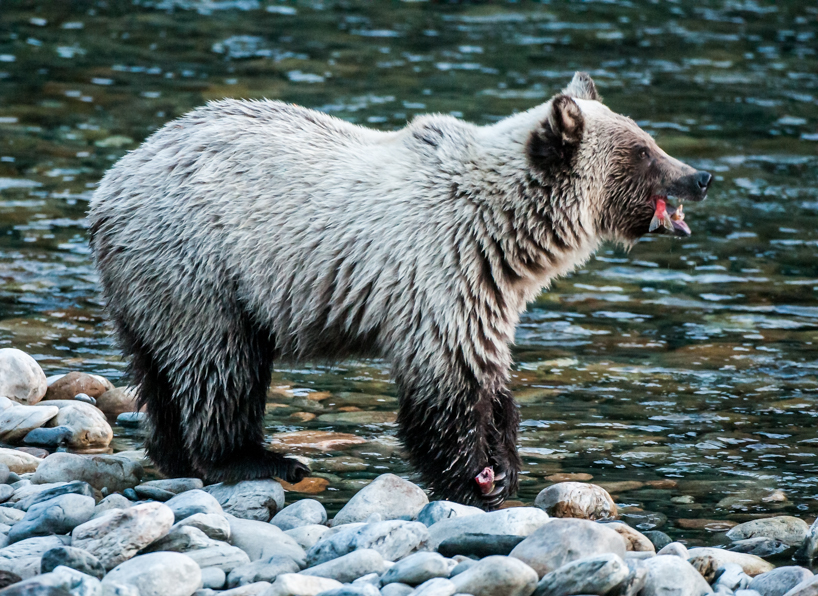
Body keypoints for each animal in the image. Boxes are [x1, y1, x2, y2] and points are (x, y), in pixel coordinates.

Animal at [88, 72, 711, 508]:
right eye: (643, 151)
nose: (700, 176)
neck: (506, 235)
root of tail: (112, 183)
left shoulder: (489, 291)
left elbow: (493, 376)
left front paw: (504, 465)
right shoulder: (440, 274)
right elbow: (447, 385)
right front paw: (475, 478)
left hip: (144, 286)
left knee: (158, 371)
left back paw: (174, 455)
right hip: (200, 266)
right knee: (221, 363)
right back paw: (258, 459)